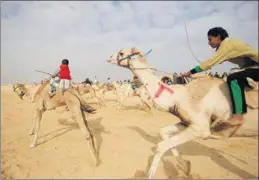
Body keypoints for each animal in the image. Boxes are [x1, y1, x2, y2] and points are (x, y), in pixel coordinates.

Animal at [107, 47, 258, 179]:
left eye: (121, 53)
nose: (109, 57)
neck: (178, 97)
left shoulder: (200, 129)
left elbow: (161, 146)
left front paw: (150, 174)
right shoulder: (186, 123)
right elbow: (163, 133)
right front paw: (186, 167)